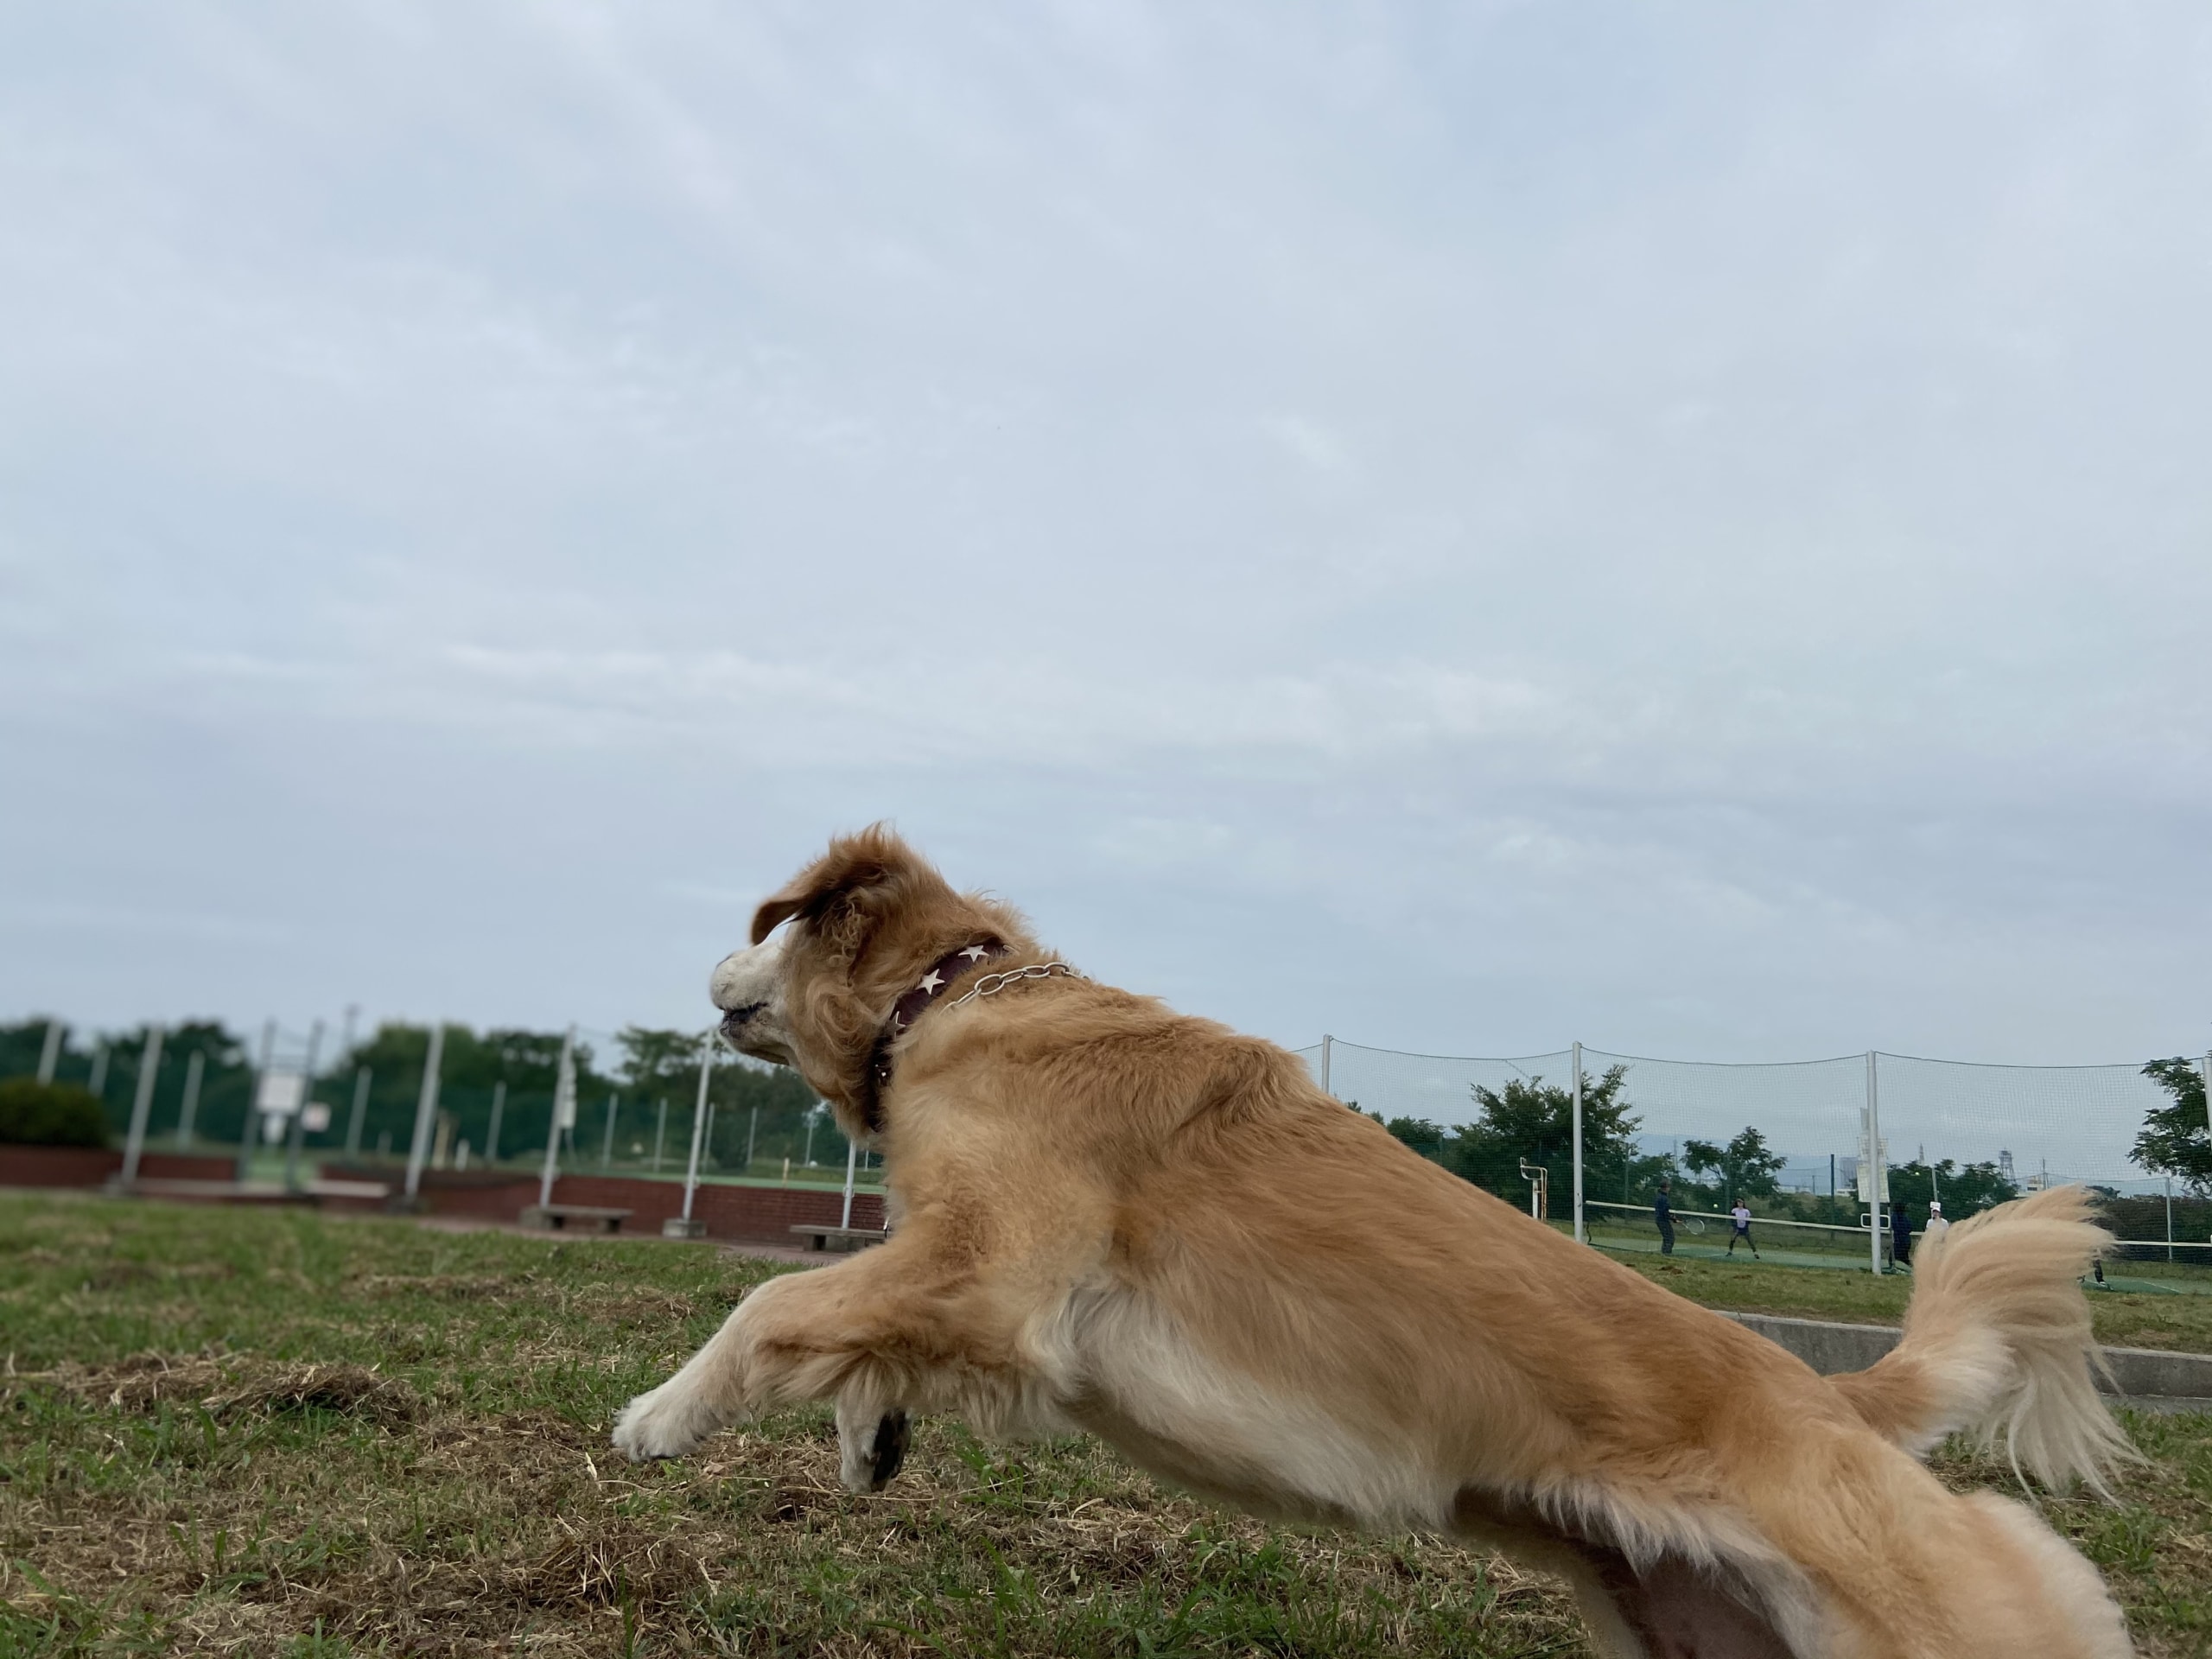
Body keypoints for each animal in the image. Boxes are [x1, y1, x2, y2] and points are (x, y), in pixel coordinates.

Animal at [614, 831, 2132, 1659]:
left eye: (773, 923)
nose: (706, 971)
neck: (954, 1001)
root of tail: (1832, 1399)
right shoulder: (968, 1287)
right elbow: (852, 1326)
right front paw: (867, 1435)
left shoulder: (1001, 1264)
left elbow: (773, 1302)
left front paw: (662, 1417)